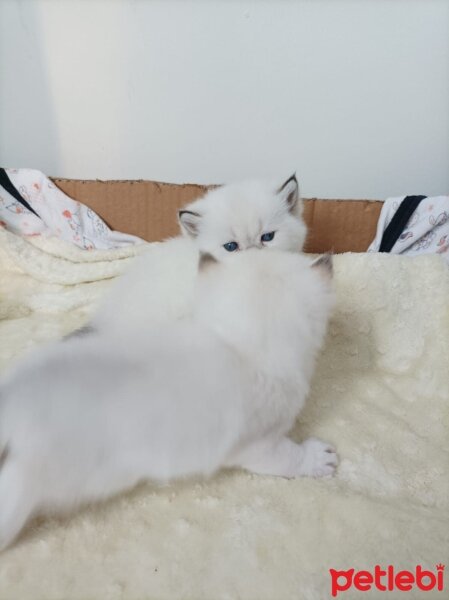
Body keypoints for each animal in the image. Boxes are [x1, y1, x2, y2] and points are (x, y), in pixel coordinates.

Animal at [0, 247, 332, 548]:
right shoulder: (259, 444)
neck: (243, 347)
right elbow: (287, 458)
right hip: (33, 481)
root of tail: (14, 400)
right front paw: (317, 459)